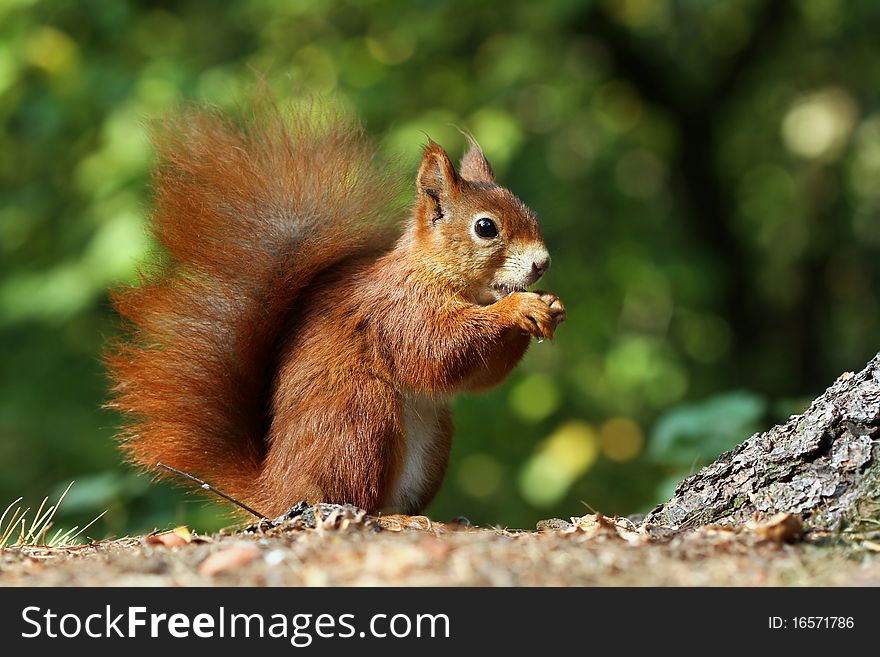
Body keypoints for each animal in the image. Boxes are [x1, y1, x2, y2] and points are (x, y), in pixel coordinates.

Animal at [106, 101, 568, 516]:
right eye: (485, 227)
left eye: (531, 213)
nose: (542, 263)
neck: (438, 274)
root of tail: (275, 491)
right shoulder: (397, 308)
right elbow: (438, 349)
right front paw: (518, 308)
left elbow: (475, 375)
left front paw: (551, 306)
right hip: (359, 419)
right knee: (346, 495)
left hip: (431, 438)